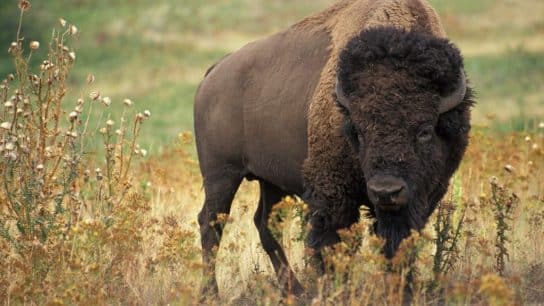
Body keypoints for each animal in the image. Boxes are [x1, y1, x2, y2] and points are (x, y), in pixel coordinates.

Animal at [194, 0, 472, 298]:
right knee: (211, 224)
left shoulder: (419, 199)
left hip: (271, 181)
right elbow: (333, 246)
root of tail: (214, 73)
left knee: (265, 224)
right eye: (359, 131)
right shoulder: (333, 196)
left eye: (424, 131)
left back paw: (296, 292)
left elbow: (397, 246)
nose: (386, 191)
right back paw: (211, 294)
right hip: (221, 175)